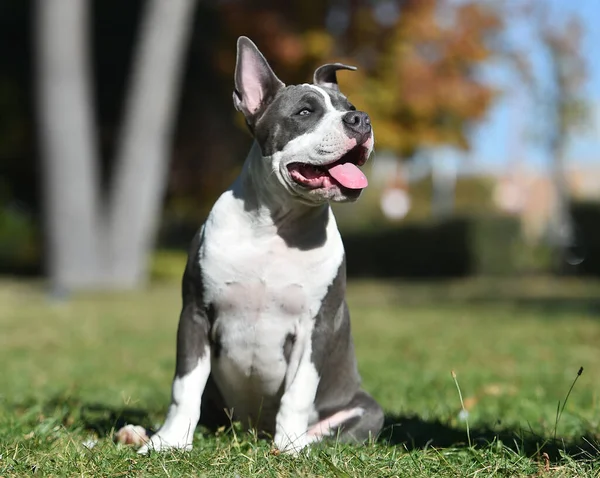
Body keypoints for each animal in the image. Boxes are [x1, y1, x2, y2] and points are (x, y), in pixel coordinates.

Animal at [133, 35, 382, 454]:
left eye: (349, 108)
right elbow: (185, 385)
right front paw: (168, 442)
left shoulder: (317, 326)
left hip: (368, 410)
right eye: (304, 112)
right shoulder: (195, 313)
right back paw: (137, 431)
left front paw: (291, 446)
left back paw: (299, 442)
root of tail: (252, 430)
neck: (274, 228)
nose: (361, 119)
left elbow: (299, 392)